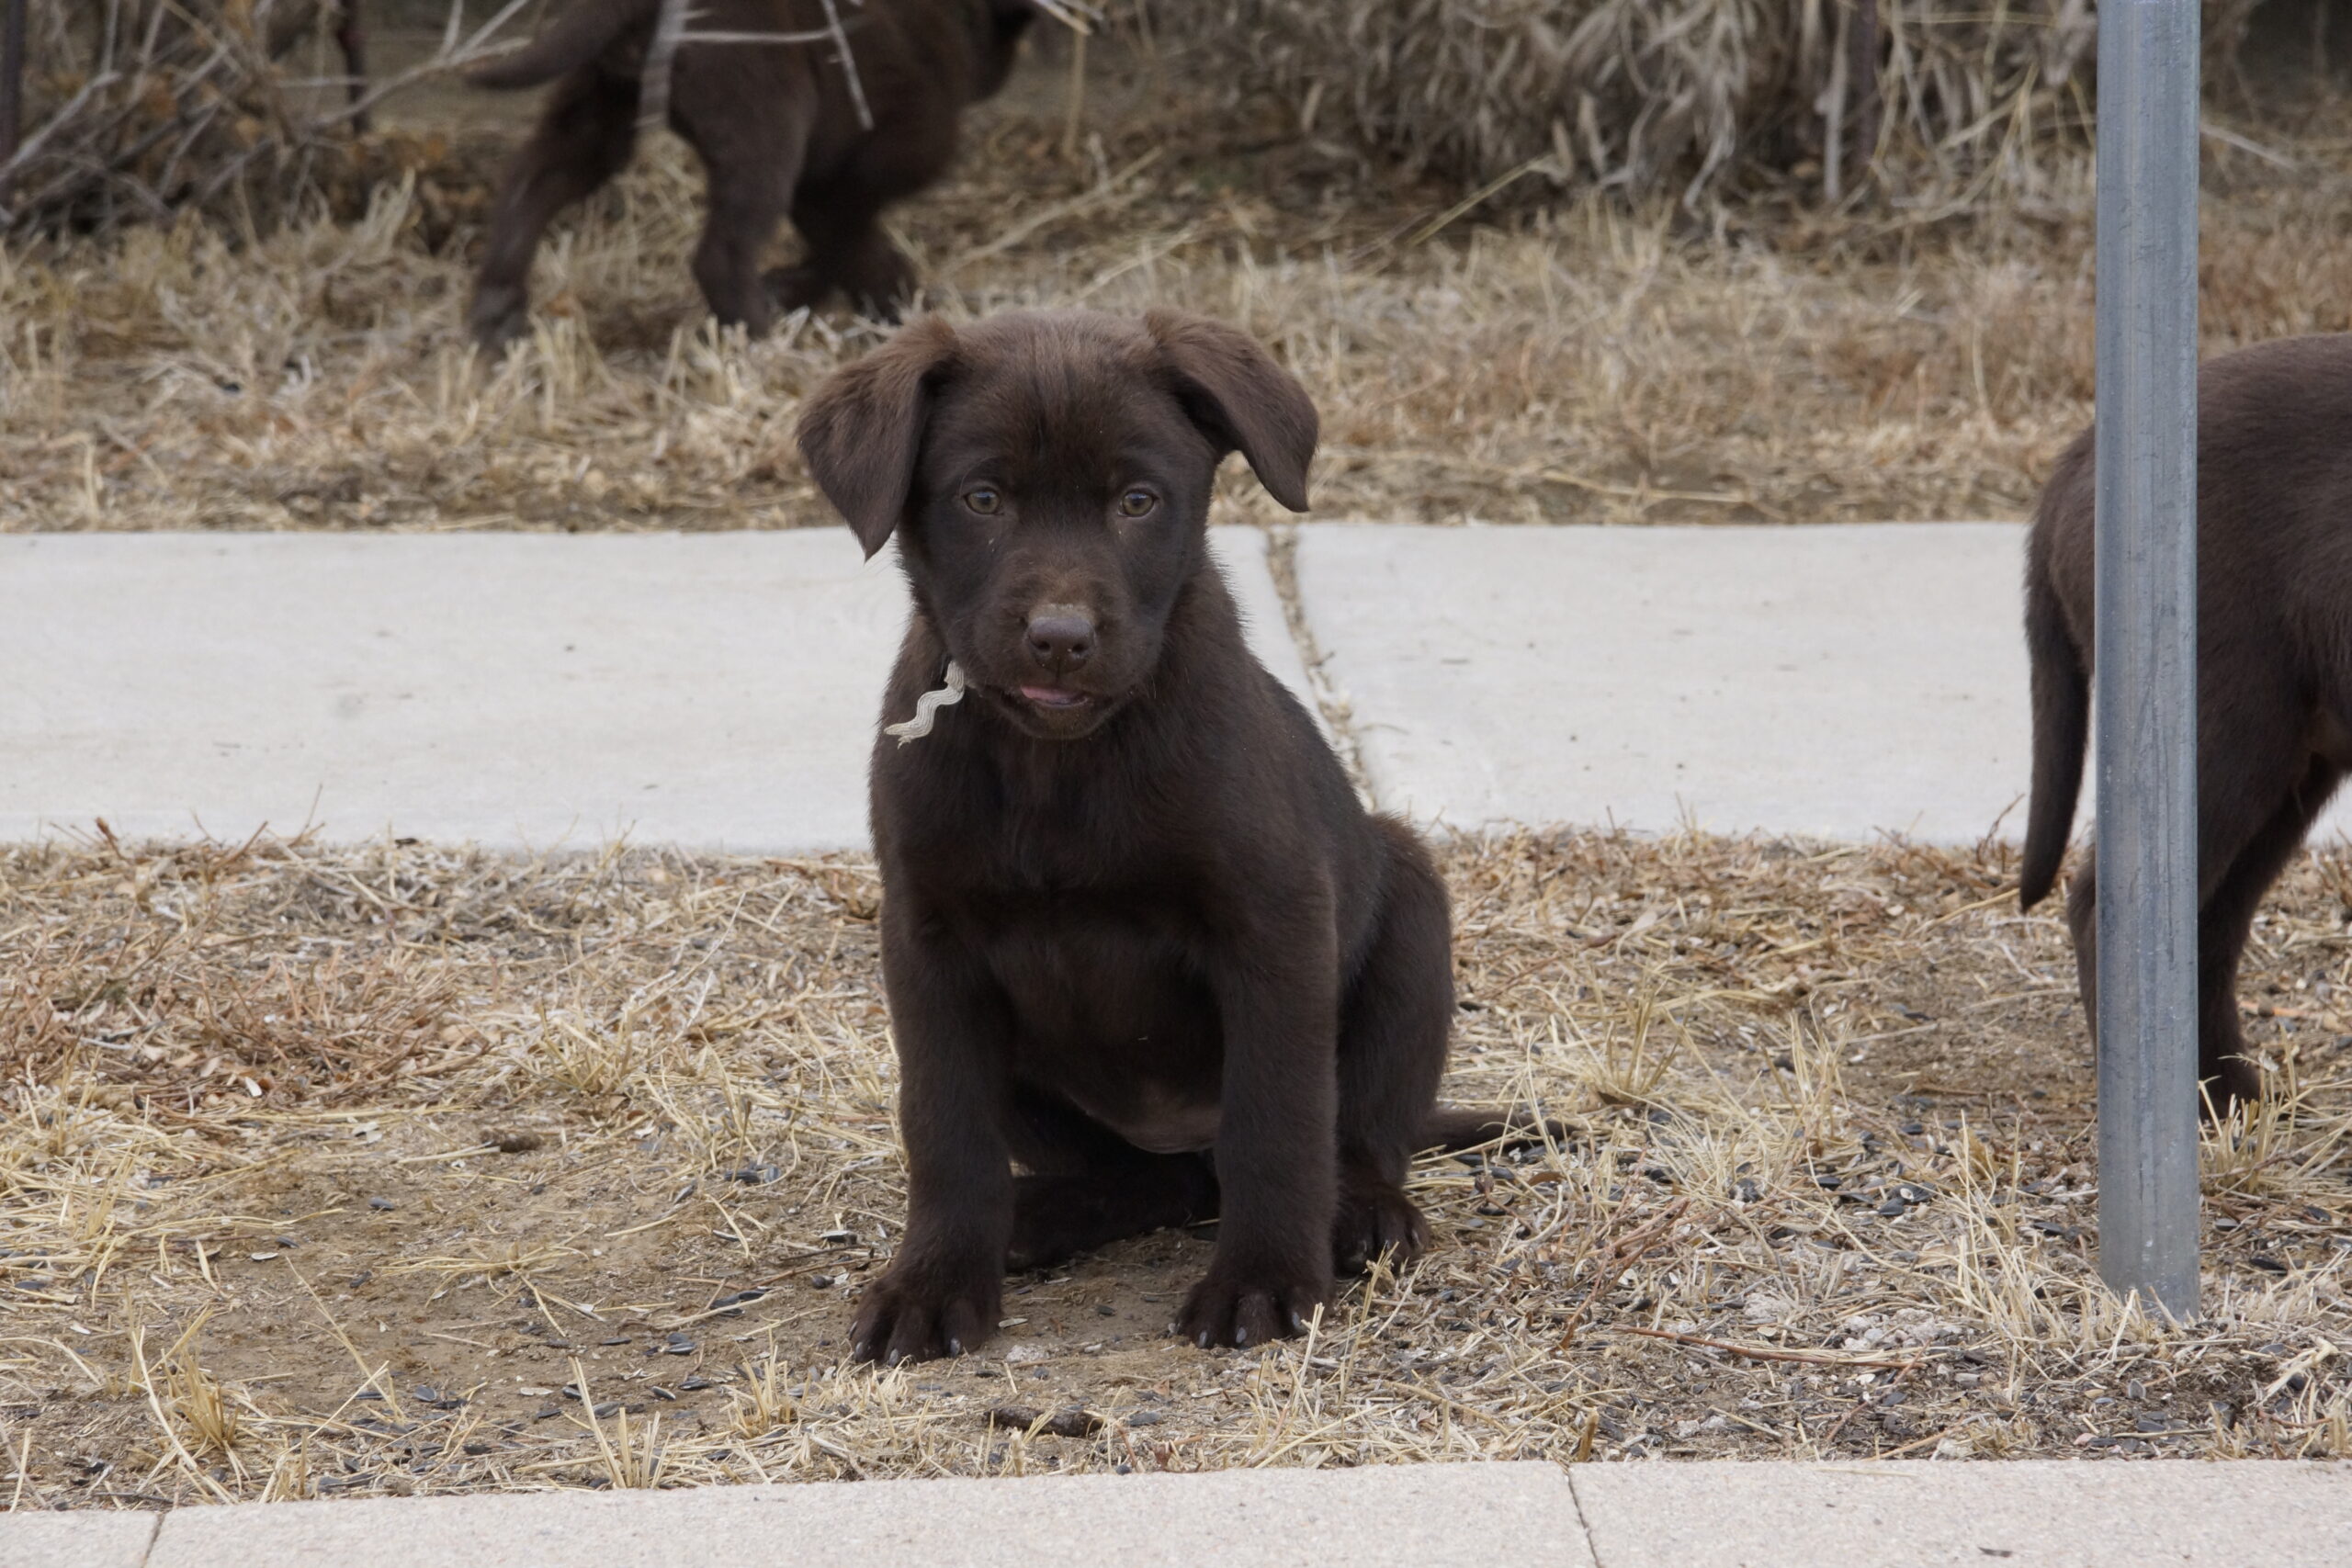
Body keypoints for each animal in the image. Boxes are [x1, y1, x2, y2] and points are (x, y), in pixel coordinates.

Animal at [463, 0, 1035, 352]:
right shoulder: (858, 167)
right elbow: (852, 243)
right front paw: (896, 301)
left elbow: (841, 246)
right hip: (764, 119)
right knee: (721, 254)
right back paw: (762, 341)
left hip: (605, 97)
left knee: (535, 182)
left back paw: (497, 313)